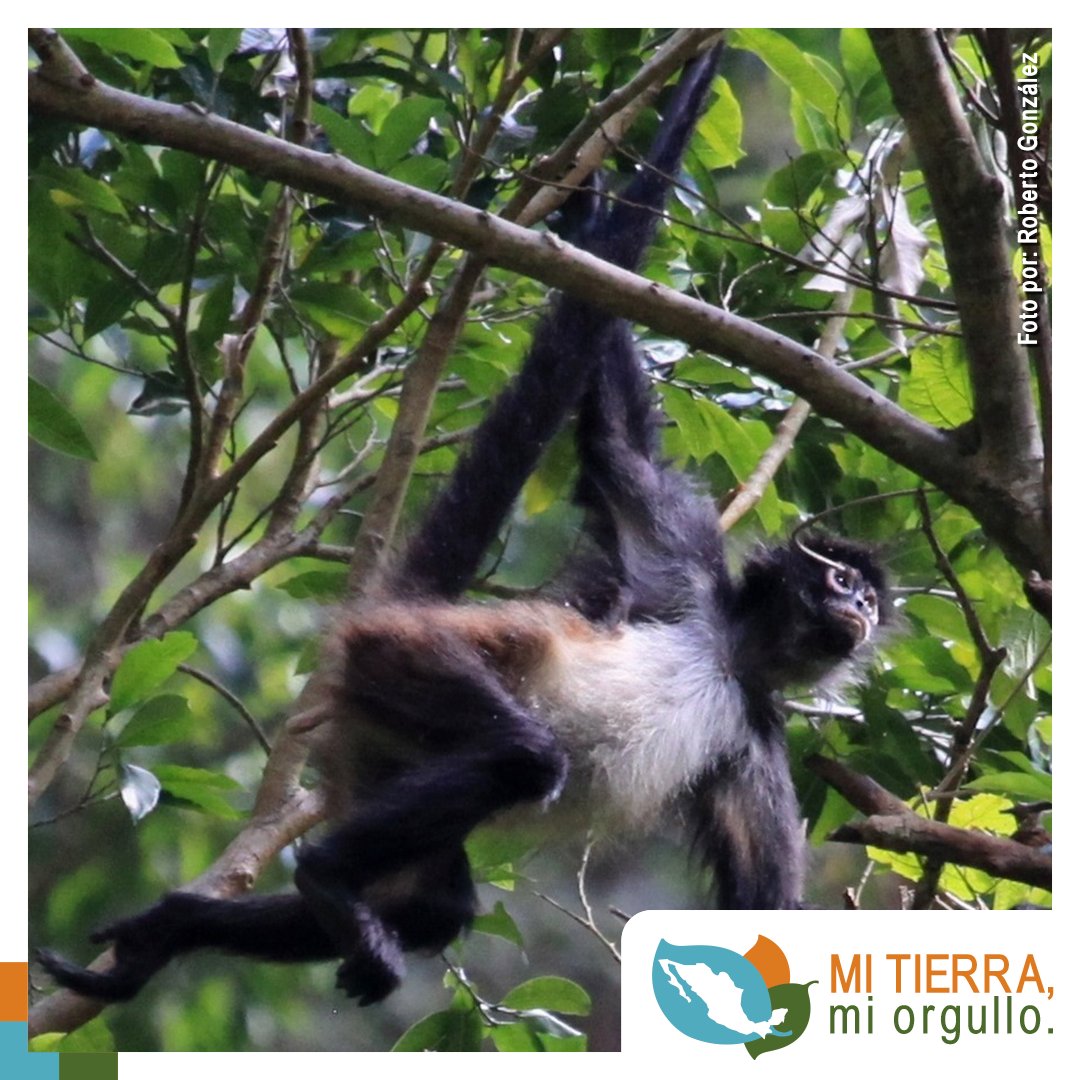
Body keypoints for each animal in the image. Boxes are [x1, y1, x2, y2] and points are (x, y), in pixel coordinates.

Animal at [38, 45, 890, 1009]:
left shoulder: (755, 742)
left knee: (437, 900)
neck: (731, 656)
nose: (862, 610)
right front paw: (639, 143)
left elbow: (766, 910)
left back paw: (181, 928)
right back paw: (324, 879)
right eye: (840, 580)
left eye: (869, 596)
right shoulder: (683, 567)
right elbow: (617, 440)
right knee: (520, 755)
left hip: (376, 746)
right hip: (407, 656)